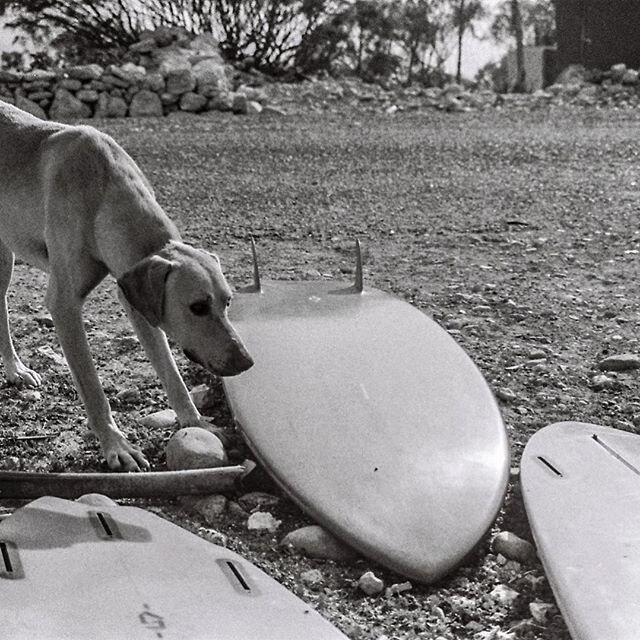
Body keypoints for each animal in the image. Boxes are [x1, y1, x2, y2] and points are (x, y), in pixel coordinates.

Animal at [0, 100, 255, 470]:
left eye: (228, 302)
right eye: (197, 307)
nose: (245, 362)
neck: (104, 192)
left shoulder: (137, 299)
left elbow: (171, 373)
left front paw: (196, 422)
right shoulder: (64, 305)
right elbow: (93, 389)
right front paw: (116, 445)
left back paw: (14, 368)